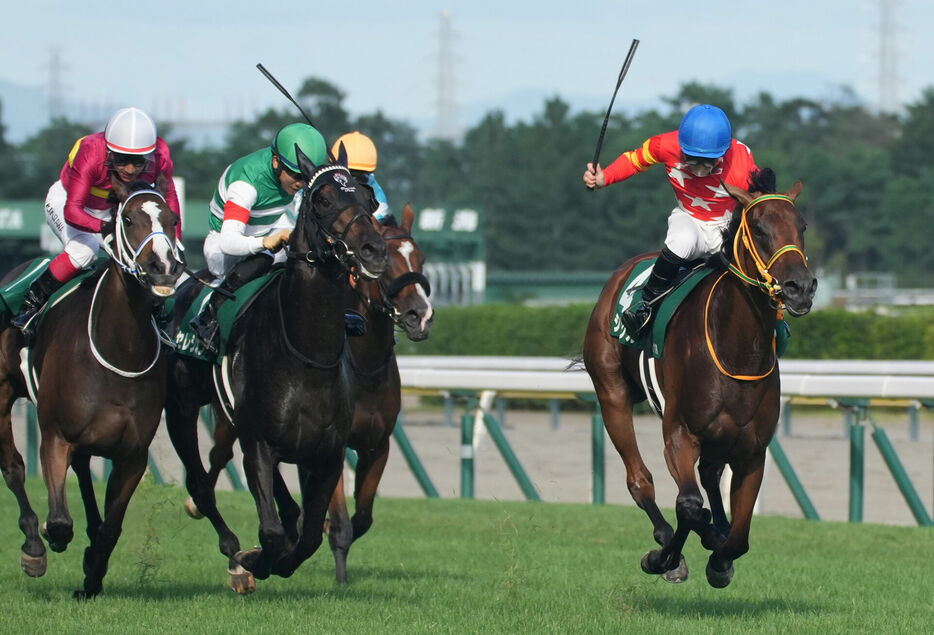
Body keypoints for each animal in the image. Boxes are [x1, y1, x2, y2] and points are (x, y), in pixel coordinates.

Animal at [0, 176, 184, 600]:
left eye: (171, 219)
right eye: (128, 218)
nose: (163, 267)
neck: (119, 348)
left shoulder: (132, 455)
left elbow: (112, 528)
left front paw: (92, 575)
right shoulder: (54, 436)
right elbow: (59, 519)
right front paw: (52, 542)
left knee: (84, 473)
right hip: (1, 394)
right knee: (13, 467)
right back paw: (33, 543)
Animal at [584, 171, 820, 588]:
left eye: (802, 226)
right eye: (760, 229)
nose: (800, 287)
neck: (736, 347)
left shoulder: (752, 450)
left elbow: (739, 537)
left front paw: (720, 558)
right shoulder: (680, 434)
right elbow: (690, 507)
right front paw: (665, 557)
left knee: (709, 477)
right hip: (610, 391)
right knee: (640, 480)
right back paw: (671, 538)